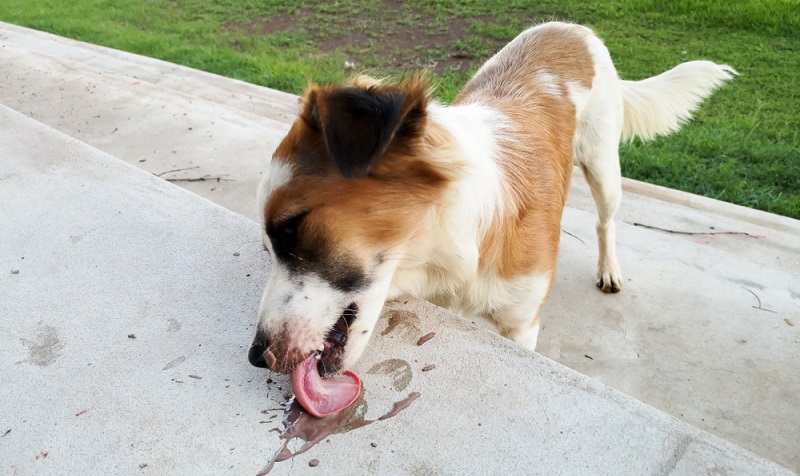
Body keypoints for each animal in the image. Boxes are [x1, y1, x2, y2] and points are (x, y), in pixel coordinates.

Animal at [247, 22, 736, 378]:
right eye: (269, 245)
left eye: (291, 229)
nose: (256, 356)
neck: (454, 254)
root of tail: (571, 27)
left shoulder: (522, 325)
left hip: (603, 166)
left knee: (605, 220)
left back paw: (609, 267)